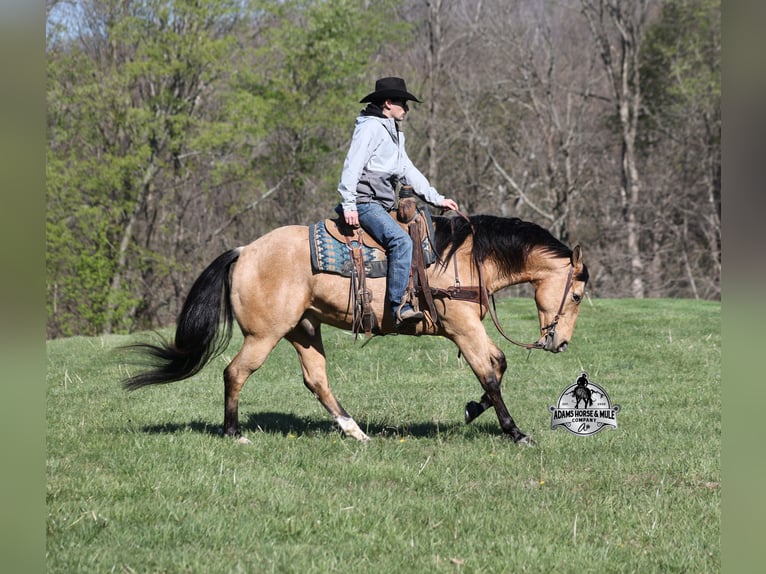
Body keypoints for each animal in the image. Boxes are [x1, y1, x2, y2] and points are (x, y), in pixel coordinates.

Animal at [122, 213, 589, 445]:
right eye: (578, 296)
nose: (561, 342)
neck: (466, 257)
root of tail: (244, 250)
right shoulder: (462, 328)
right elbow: (491, 372)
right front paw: (516, 433)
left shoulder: (469, 328)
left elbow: (497, 365)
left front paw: (474, 410)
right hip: (263, 335)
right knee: (235, 373)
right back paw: (234, 434)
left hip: (303, 330)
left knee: (316, 380)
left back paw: (355, 431)